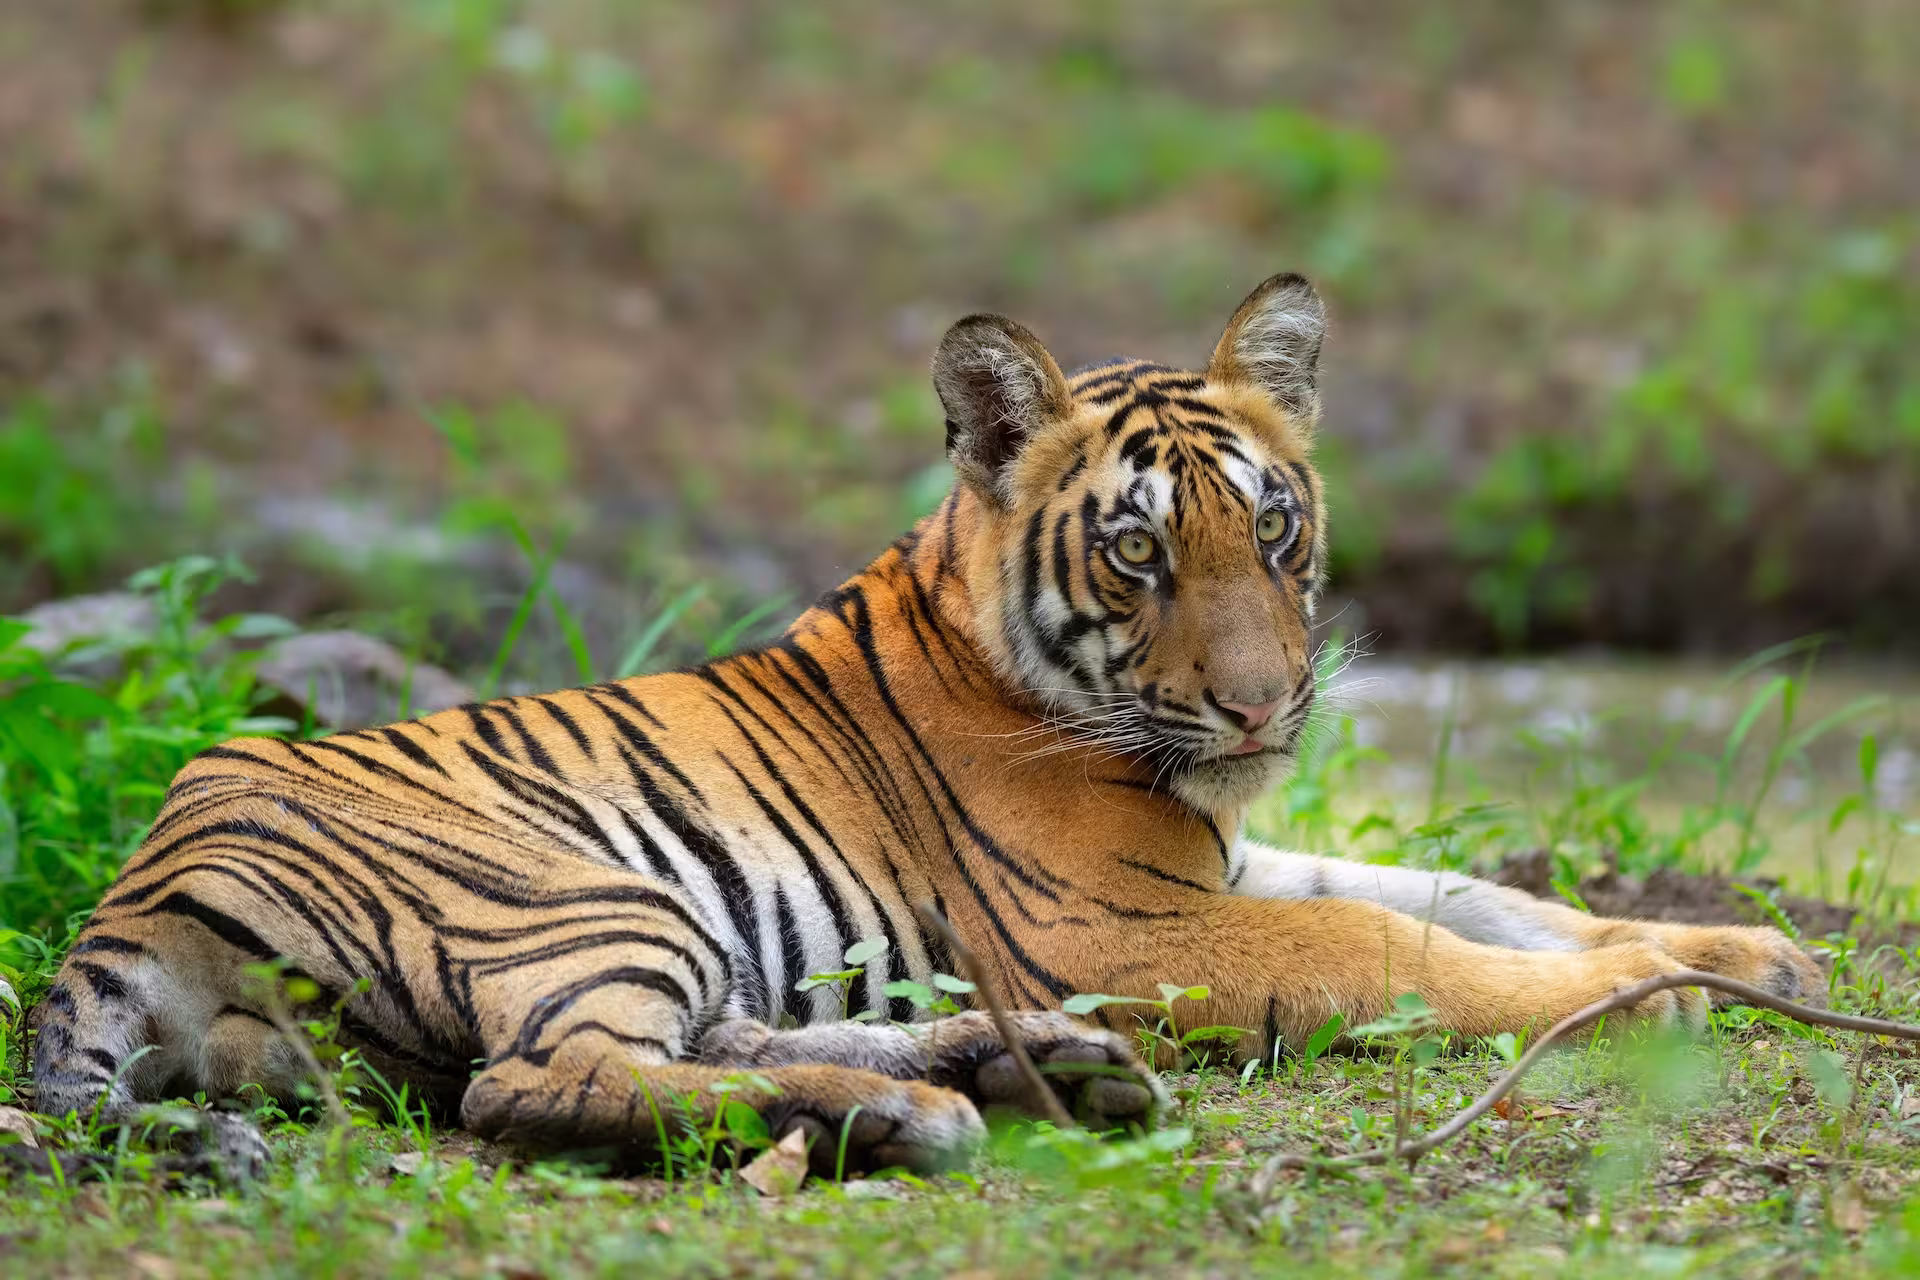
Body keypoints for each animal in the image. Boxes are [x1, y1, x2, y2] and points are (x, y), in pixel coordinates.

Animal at [30, 273, 1822, 1176]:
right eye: (1139, 551)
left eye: (1275, 528)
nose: (1263, 702)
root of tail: (130, 893)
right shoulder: (1127, 924)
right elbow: (1402, 951)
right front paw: (1649, 998)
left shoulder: (1228, 865)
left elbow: (1473, 897)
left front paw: (1745, 955)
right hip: (576, 892)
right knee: (538, 1083)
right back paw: (934, 1110)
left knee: (702, 1045)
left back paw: (986, 1084)